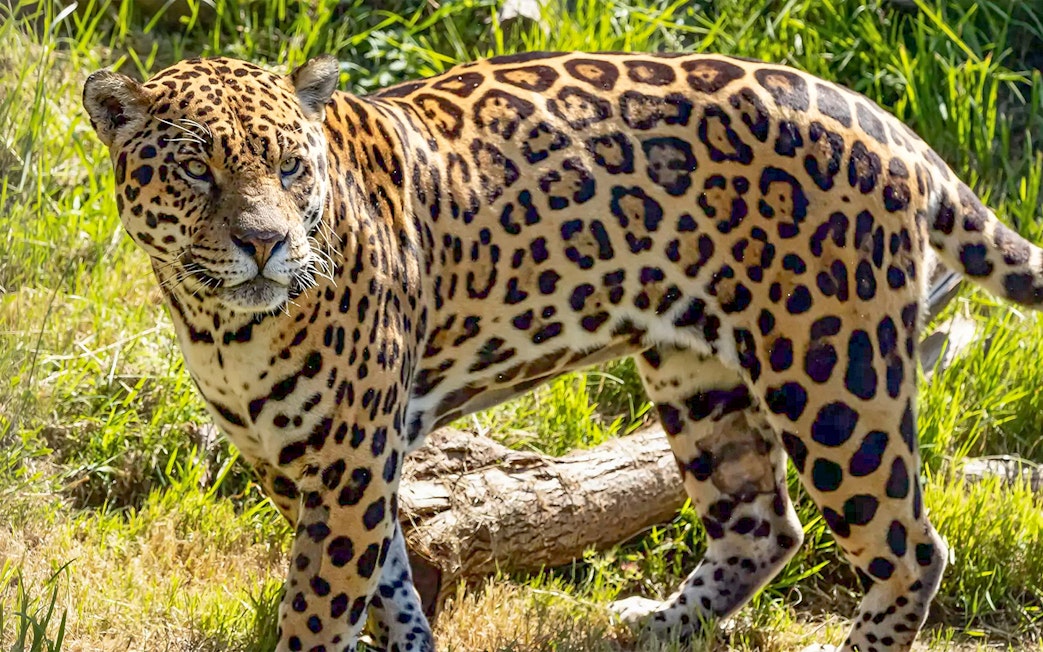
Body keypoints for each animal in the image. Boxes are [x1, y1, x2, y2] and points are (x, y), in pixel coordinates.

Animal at [82, 50, 1043, 652]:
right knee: (762, 523)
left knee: (911, 549)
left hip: (833, 370)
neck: (219, 321)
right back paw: (656, 629)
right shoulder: (300, 464)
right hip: (698, 377)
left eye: (289, 167)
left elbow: (321, 609)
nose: (267, 243)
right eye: (198, 170)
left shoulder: (349, 463)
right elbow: (389, 586)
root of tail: (890, 124)